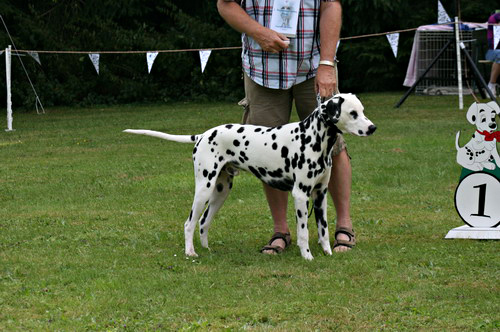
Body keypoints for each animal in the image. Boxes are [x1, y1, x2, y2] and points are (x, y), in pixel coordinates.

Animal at [124, 92, 376, 260]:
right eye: (353, 113)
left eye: (363, 111)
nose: (372, 128)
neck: (312, 138)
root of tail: (203, 135)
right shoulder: (301, 195)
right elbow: (303, 232)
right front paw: (307, 257)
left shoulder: (320, 195)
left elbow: (323, 230)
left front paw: (328, 252)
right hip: (204, 187)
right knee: (189, 222)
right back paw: (190, 252)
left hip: (220, 192)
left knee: (204, 221)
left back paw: (206, 249)